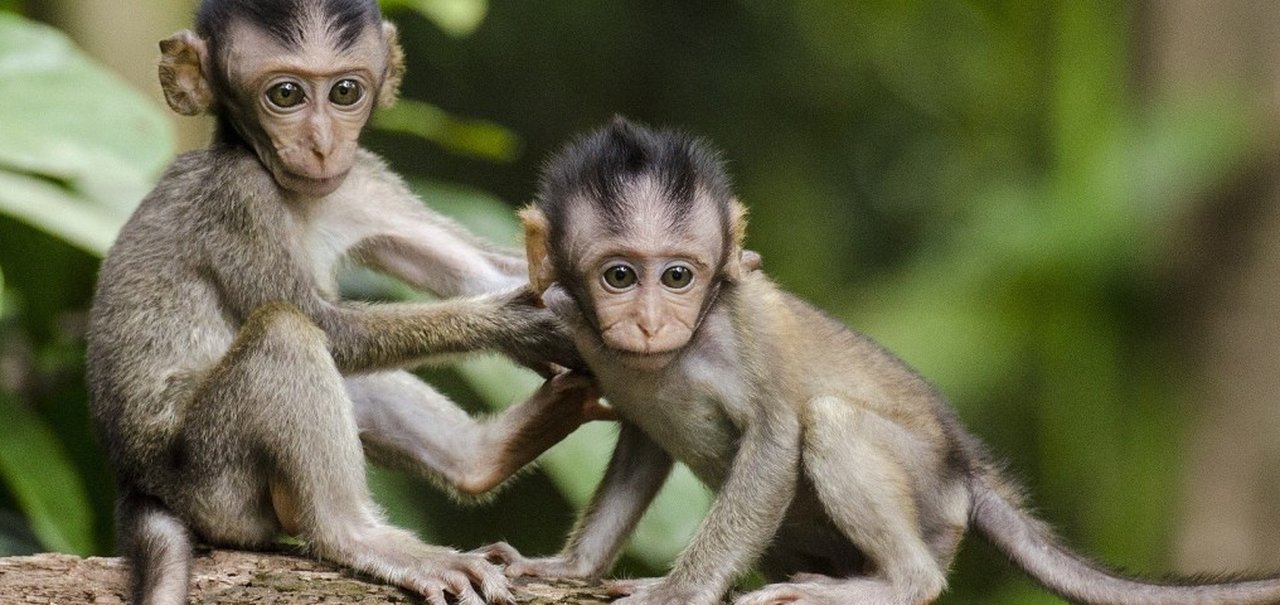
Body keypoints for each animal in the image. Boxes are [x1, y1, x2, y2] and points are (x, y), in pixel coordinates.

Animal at [86, 1, 604, 603]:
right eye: (285, 95)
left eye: (345, 92)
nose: (322, 144)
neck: (294, 193)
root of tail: (139, 484)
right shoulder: (237, 197)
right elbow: (326, 326)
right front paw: (515, 324)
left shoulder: (363, 180)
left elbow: (479, 269)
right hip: (213, 481)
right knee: (286, 332)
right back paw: (355, 535)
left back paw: (483, 457)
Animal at [476, 117, 1280, 603]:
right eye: (620, 275)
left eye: (678, 275)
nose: (649, 321)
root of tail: (964, 467)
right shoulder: (580, 325)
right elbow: (643, 445)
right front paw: (568, 568)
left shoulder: (743, 328)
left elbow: (776, 439)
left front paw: (680, 590)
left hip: (929, 497)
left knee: (831, 423)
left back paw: (898, 581)